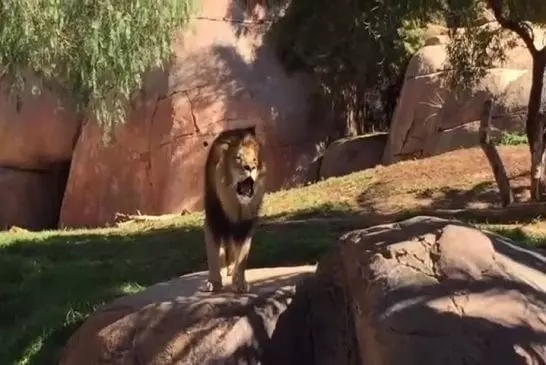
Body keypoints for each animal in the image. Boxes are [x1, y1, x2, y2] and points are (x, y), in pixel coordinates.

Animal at [202, 125, 266, 292]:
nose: (251, 167)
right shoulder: (214, 218)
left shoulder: (245, 225)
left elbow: (242, 255)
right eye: (238, 158)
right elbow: (213, 254)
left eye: (255, 160)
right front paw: (214, 282)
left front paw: (240, 282)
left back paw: (232, 269)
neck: (236, 204)